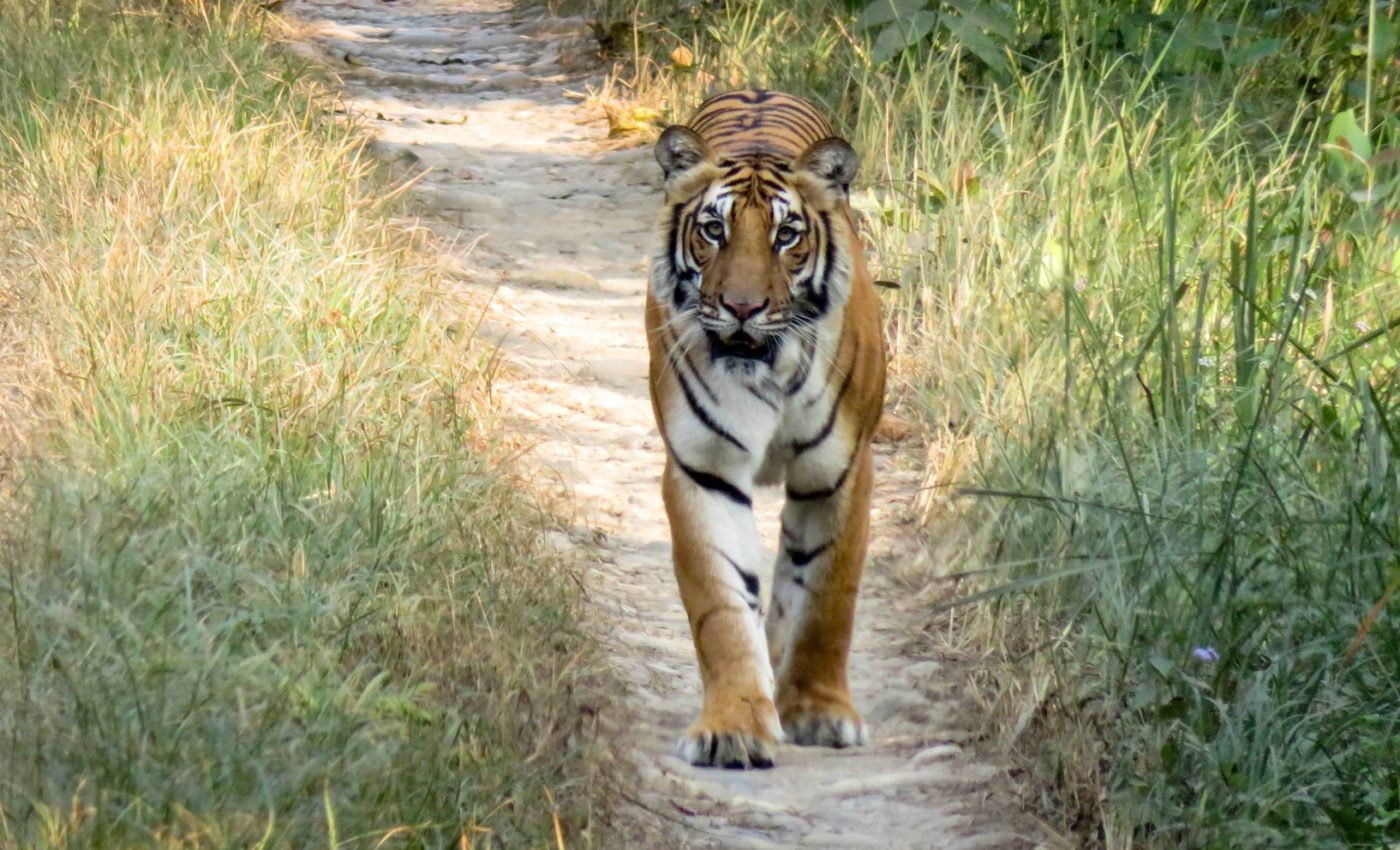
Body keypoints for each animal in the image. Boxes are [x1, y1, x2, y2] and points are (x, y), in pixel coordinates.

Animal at [645, 89, 886, 769]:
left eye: (786, 236)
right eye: (714, 230)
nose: (743, 307)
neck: (767, 372)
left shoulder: (841, 471)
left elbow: (828, 597)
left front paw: (820, 713)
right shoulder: (704, 468)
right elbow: (722, 604)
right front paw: (733, 727)